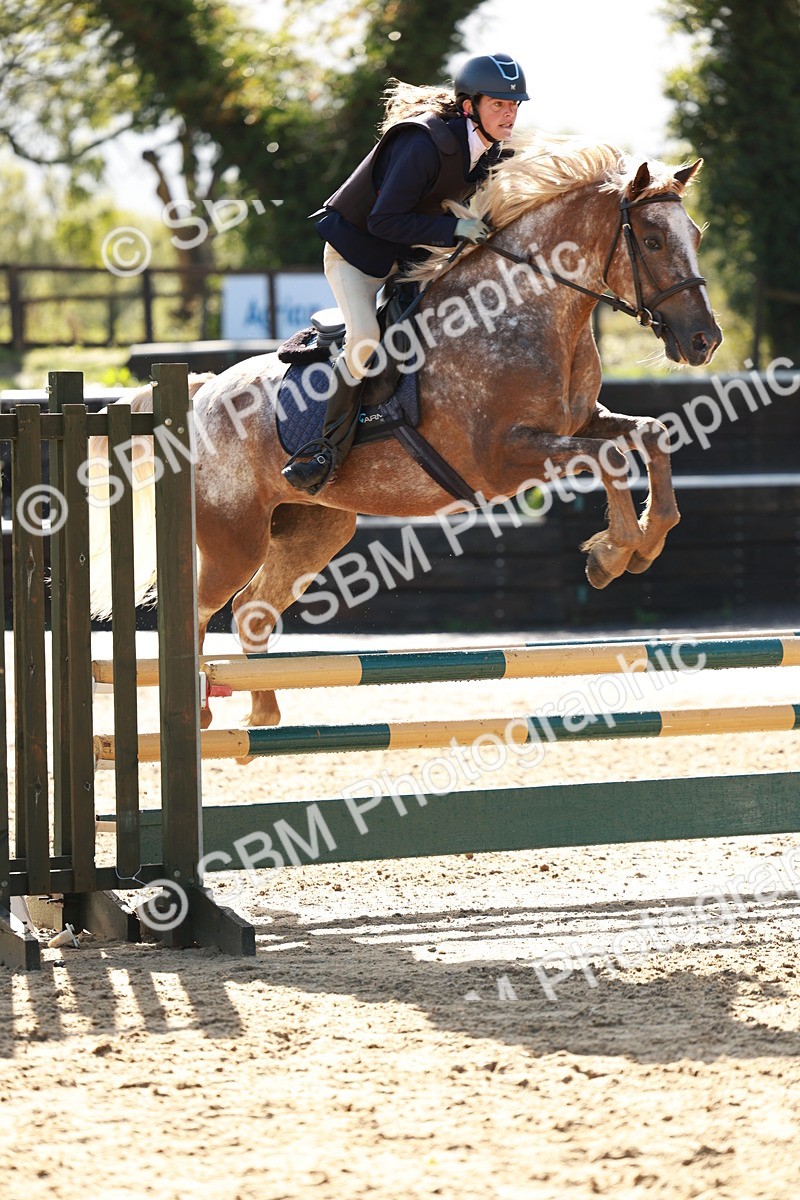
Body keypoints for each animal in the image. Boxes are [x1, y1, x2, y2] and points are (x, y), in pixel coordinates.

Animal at [89, 134, 721, 730]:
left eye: (693, 234)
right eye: (654, 241)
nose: (705, 341)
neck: (529, 310)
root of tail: (199, 394)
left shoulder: (579, 424)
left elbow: (648, 434)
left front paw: (644, 542)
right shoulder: (506, 457)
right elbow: (612, 456)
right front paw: (611, 555)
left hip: (314, 528)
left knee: (253, 608)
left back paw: (263, 715)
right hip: (234, 537)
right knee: (197, 609)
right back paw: (197, 713)